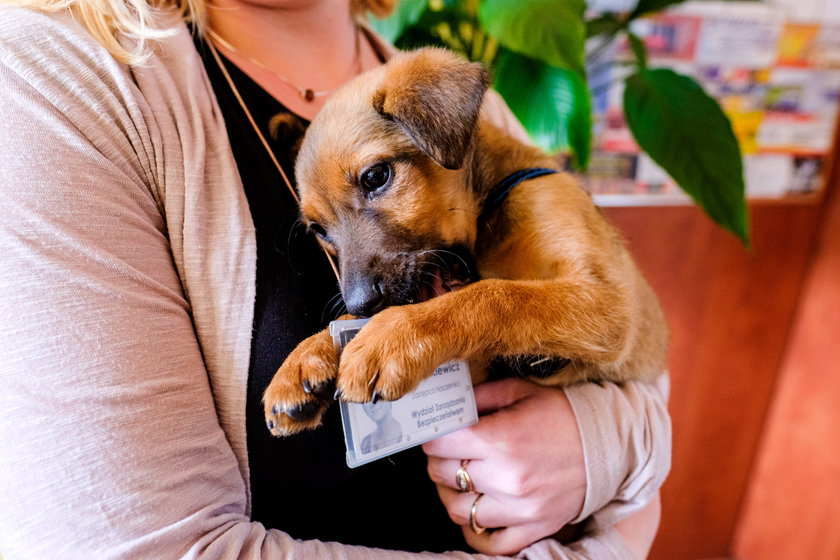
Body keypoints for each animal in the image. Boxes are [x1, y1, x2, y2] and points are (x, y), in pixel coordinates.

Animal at [264, 48, 668, 436]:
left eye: (376, 176)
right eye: (319, 229)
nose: (360, 304)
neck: (489, 217)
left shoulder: (610, 303)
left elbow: (494, 295)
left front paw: (393, 336)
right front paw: (306, 357)